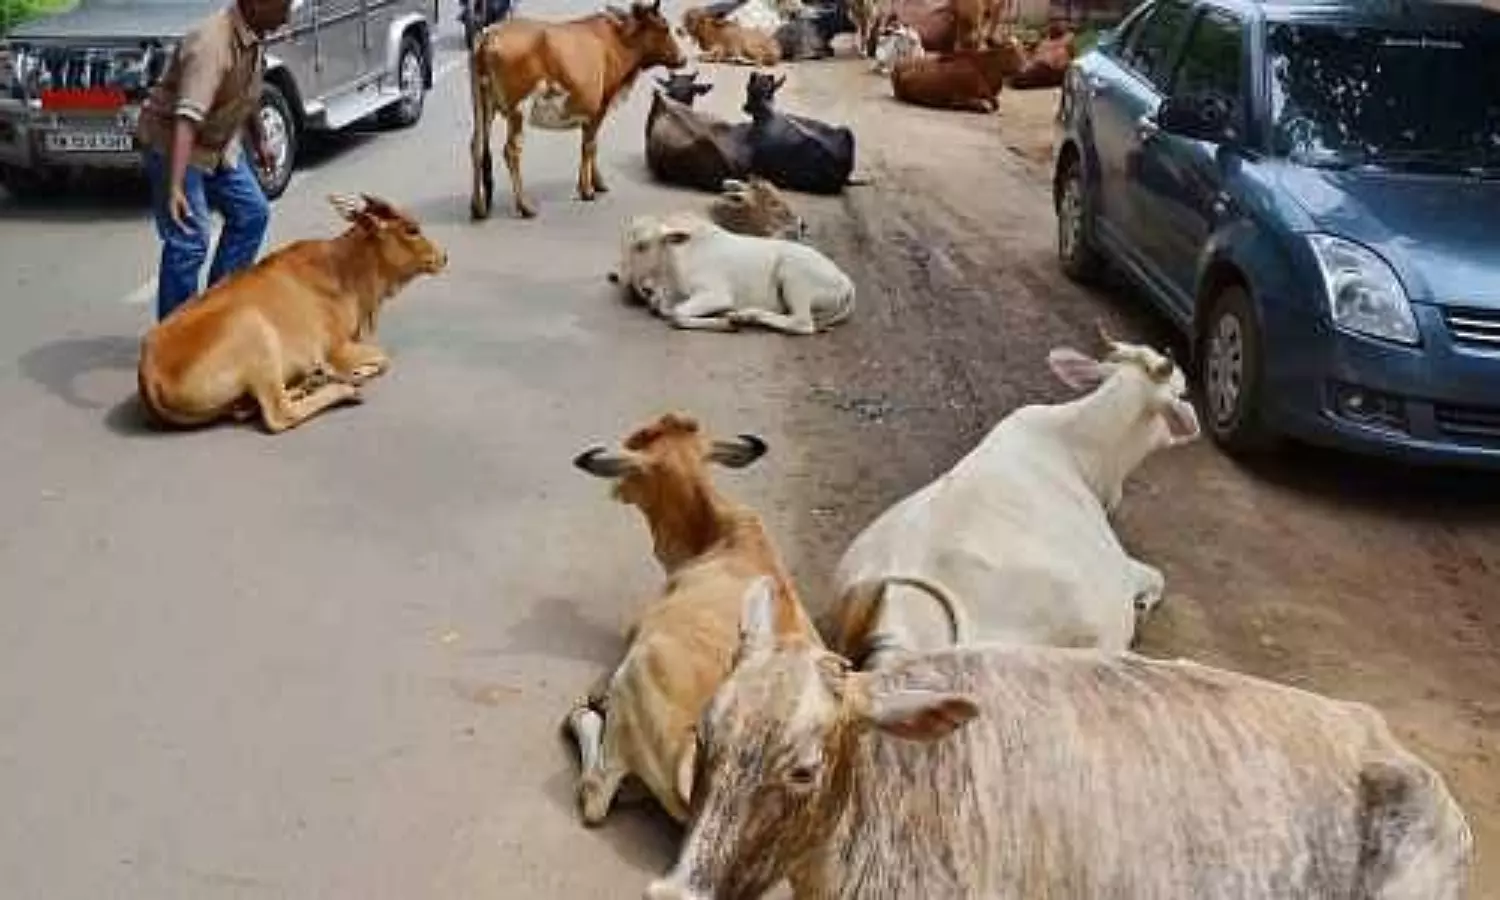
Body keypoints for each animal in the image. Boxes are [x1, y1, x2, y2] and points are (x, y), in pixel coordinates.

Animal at [136, 194, 446, 434]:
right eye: (411, 229)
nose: (443, 256)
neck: (344, 270)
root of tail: (149, 374)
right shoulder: (337, 348)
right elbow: (382, 359)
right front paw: (353, 373)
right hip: (253, 331)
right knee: (279, 414)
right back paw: (341, 388)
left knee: (250, 408)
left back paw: (310, 382)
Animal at [467, 0, 687, 220]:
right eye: (664, 28)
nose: (683, 58)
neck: (617, 41)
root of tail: (490, 34)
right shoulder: (600, 105)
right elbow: (590, 146)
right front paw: (587, 190)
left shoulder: (588, 111)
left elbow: (589, 145)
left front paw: (596, 183)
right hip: (517, 109)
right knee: (511, 151)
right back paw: (524, 206)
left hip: (483, 105)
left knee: (476, 145)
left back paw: (478, 207)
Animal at [563, 413, 823, 826]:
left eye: (635, 445)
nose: (615, 489)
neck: (718, 535)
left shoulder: (638, 629)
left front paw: (594, 697)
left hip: (635, 679)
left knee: (597, 796)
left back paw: (584, 717)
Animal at [609, 210, 854, 335]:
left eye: (642, 245)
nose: (617, 278)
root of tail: (846, 282)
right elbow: (663, 308)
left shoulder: (715, 293)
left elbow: (676, 315)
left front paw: (725, 323)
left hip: (795, 276)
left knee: (802, 323)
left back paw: (743, 316)